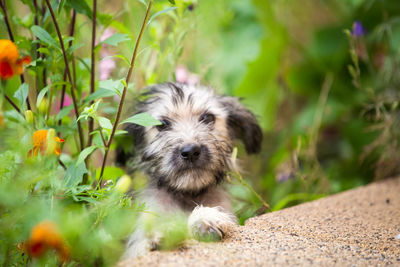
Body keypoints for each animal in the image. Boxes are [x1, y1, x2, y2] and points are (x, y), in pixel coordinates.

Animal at [118, 83, 262, 260]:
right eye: (162, 124)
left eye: (208, 118)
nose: (191, 151)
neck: (187, 194)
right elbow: (141, 242)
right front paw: (160, 232)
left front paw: (205, 219)